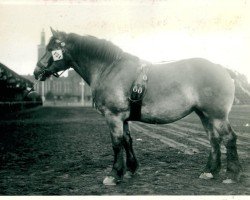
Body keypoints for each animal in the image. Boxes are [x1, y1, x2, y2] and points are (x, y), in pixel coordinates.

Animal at [34, 28, 241, 186]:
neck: (109, 69)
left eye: (51, 49)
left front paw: (114, 174)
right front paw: (131, 169)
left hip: (217, 115)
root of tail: (222, 69)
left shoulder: (113, 116)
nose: (37, 72)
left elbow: (116, 143)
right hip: (204, 114)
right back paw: (210, 171)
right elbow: (127, 141)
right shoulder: (123, 119)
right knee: (214, 140)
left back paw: (232, 174)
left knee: (229, 138)